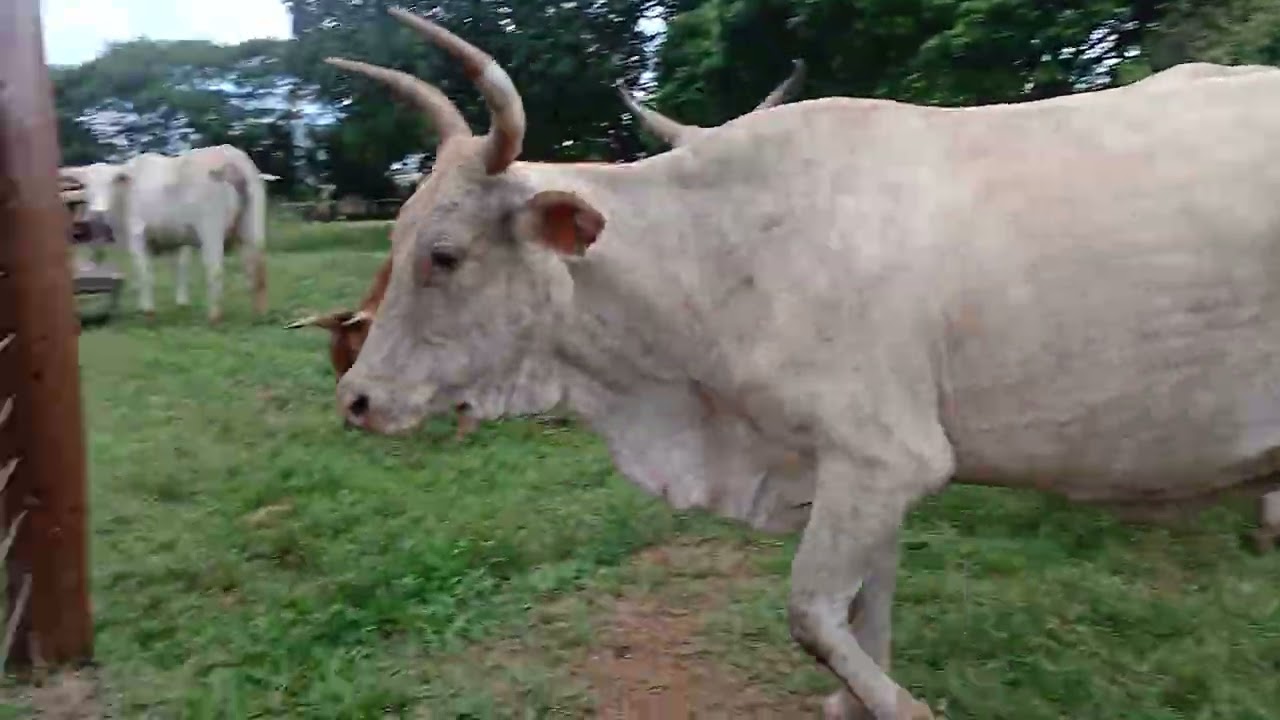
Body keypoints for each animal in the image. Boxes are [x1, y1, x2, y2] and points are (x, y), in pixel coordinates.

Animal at [60, 144, 270, 324]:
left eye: (111, 182)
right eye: (87, 185)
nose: (97, 210)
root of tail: (230, 155)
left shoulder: (137, 236)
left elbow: (144, 272)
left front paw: (148, 311)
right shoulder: (176, 240)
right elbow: (180, 269)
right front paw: (182, 304)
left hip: (211, 228)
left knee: (215, 269)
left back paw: (214, 317)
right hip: (252, 225)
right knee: (257, 266)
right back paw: (258, 314)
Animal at [328, 10, 1280, 719]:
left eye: (445, 256)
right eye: (399, 239)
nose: (358, 398)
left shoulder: (885, 456)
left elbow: (813, 614)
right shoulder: (855, 470)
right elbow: (866, 606)